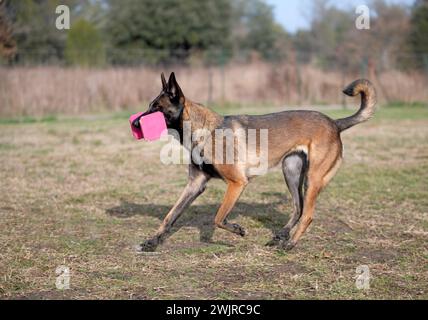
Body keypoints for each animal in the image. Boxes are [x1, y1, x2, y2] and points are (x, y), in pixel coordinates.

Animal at [135, 72, 376, 252]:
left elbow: (219, 217)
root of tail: (335, 123)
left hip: (313, 179)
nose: (135, 123)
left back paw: (289, 243)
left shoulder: (236, 183)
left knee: (307, 215)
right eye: (149, 106)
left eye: (156, 108)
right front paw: (152, 241)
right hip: (291, 171)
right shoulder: (195, 184)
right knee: (298, 208)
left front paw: (238, 229)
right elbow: (170, 216)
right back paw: (280, 235)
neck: (205, 130)